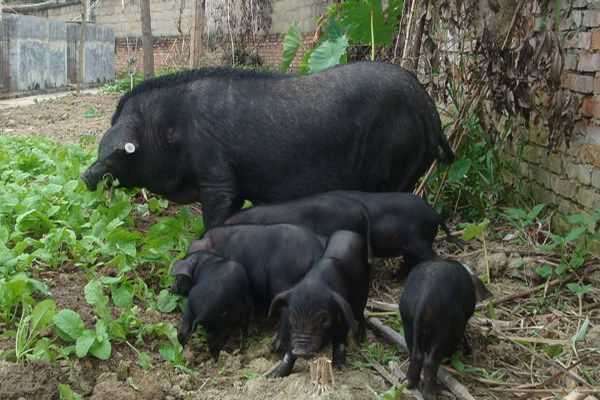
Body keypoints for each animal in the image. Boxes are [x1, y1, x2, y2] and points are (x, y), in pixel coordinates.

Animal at [81, 64, 454, 230]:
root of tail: (432, 113)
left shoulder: (216, 174)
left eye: (117, 153)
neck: (168, 130)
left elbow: (214, 218)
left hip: (402, 163)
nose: (85, 176)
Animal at [171, 223, 326, 352]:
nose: (172, 286)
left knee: (286, 311)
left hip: (282, 281)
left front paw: (251, 332)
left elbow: (250, 303)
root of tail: (314, 254)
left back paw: (274, 346)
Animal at [223, 191, 462, 278]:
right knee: (408, 261)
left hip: (420, 241)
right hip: (411, 245)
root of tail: (434, 213)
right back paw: (393, 278)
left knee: (432, 258)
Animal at [268, 230, 370, 376]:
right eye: (292, 319)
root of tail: (349, 232)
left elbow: (339, 342)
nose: (301, 351)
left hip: (364, 290)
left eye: (324, 319)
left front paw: (339, 369)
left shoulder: (343, 318)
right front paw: (276, 375)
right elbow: (290, 352)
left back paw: (361, 339)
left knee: (360, 312)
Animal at [398, 260, 492, 400]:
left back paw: (407, 383)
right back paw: (431, 394)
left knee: (416, 354)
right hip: (442, 331)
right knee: (430, 361)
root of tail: (423, 299)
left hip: (407, 321)